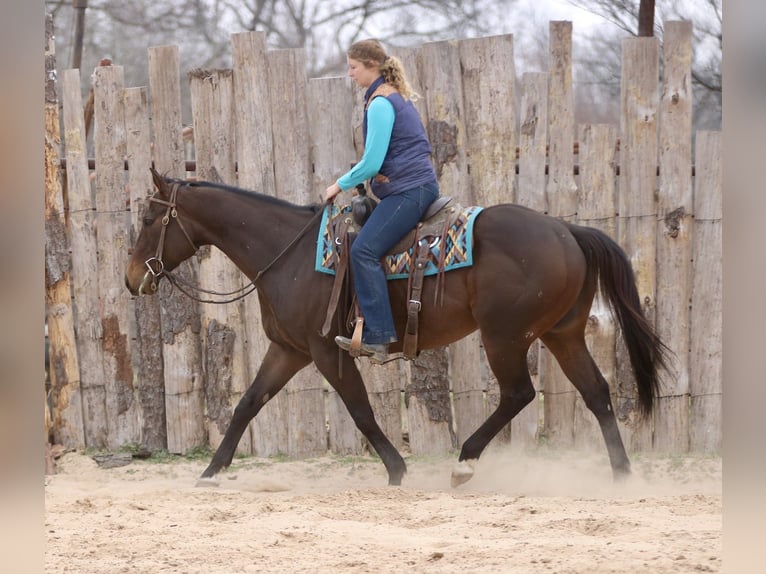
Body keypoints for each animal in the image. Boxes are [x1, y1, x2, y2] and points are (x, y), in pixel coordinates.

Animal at [125, 168, 671, 487]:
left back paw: (464, 462)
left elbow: (361, 412)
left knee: (519, 394)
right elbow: (247, 404)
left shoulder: (327, 350)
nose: (132, 279)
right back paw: (621, 476)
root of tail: (567, 230)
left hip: (505, 337)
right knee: (596, 392)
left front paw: (396, 469)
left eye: (150, 219)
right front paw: (212, 470)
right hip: (562, 334)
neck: (289, 254)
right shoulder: (288, 350)